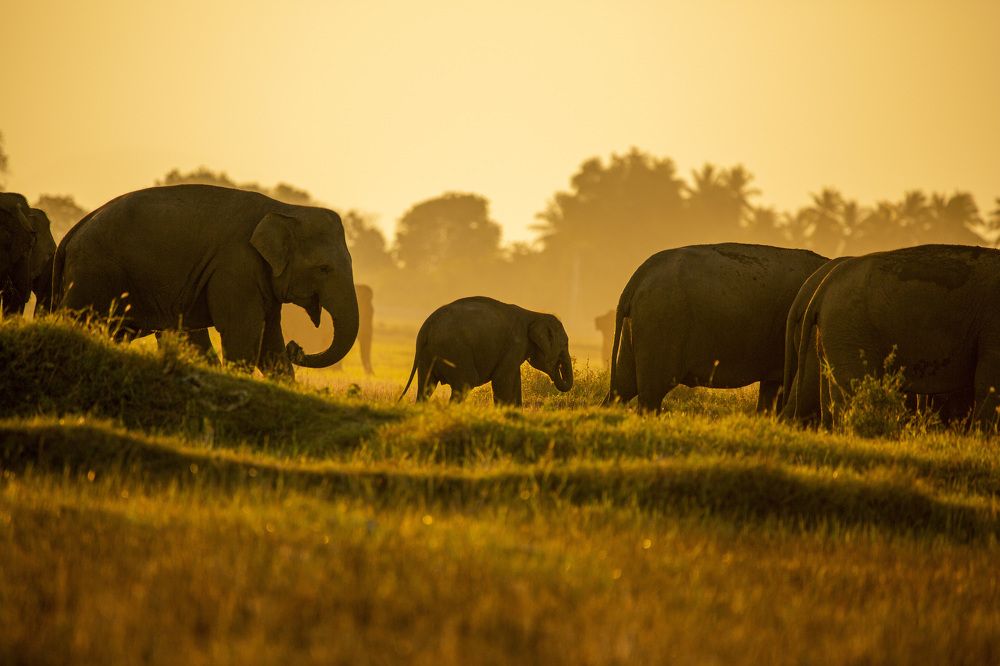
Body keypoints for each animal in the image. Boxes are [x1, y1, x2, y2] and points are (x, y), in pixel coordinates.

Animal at [54, 184, 359, 377]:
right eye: (324, 268)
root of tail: (73, 231)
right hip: (94, 273)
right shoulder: (236, 268)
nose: (296, 346)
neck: (284, 208)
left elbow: (270, 343)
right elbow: (243, 335)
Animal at [398, 296, 574, 405]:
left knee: (426, 386)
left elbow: (515, 380)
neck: (534, 314)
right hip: (455, 350)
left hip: (427, 355)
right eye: (565, 344)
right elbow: (501, 379)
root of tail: (426, 327)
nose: (557, 368)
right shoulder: (515, 343)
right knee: (464, 383)